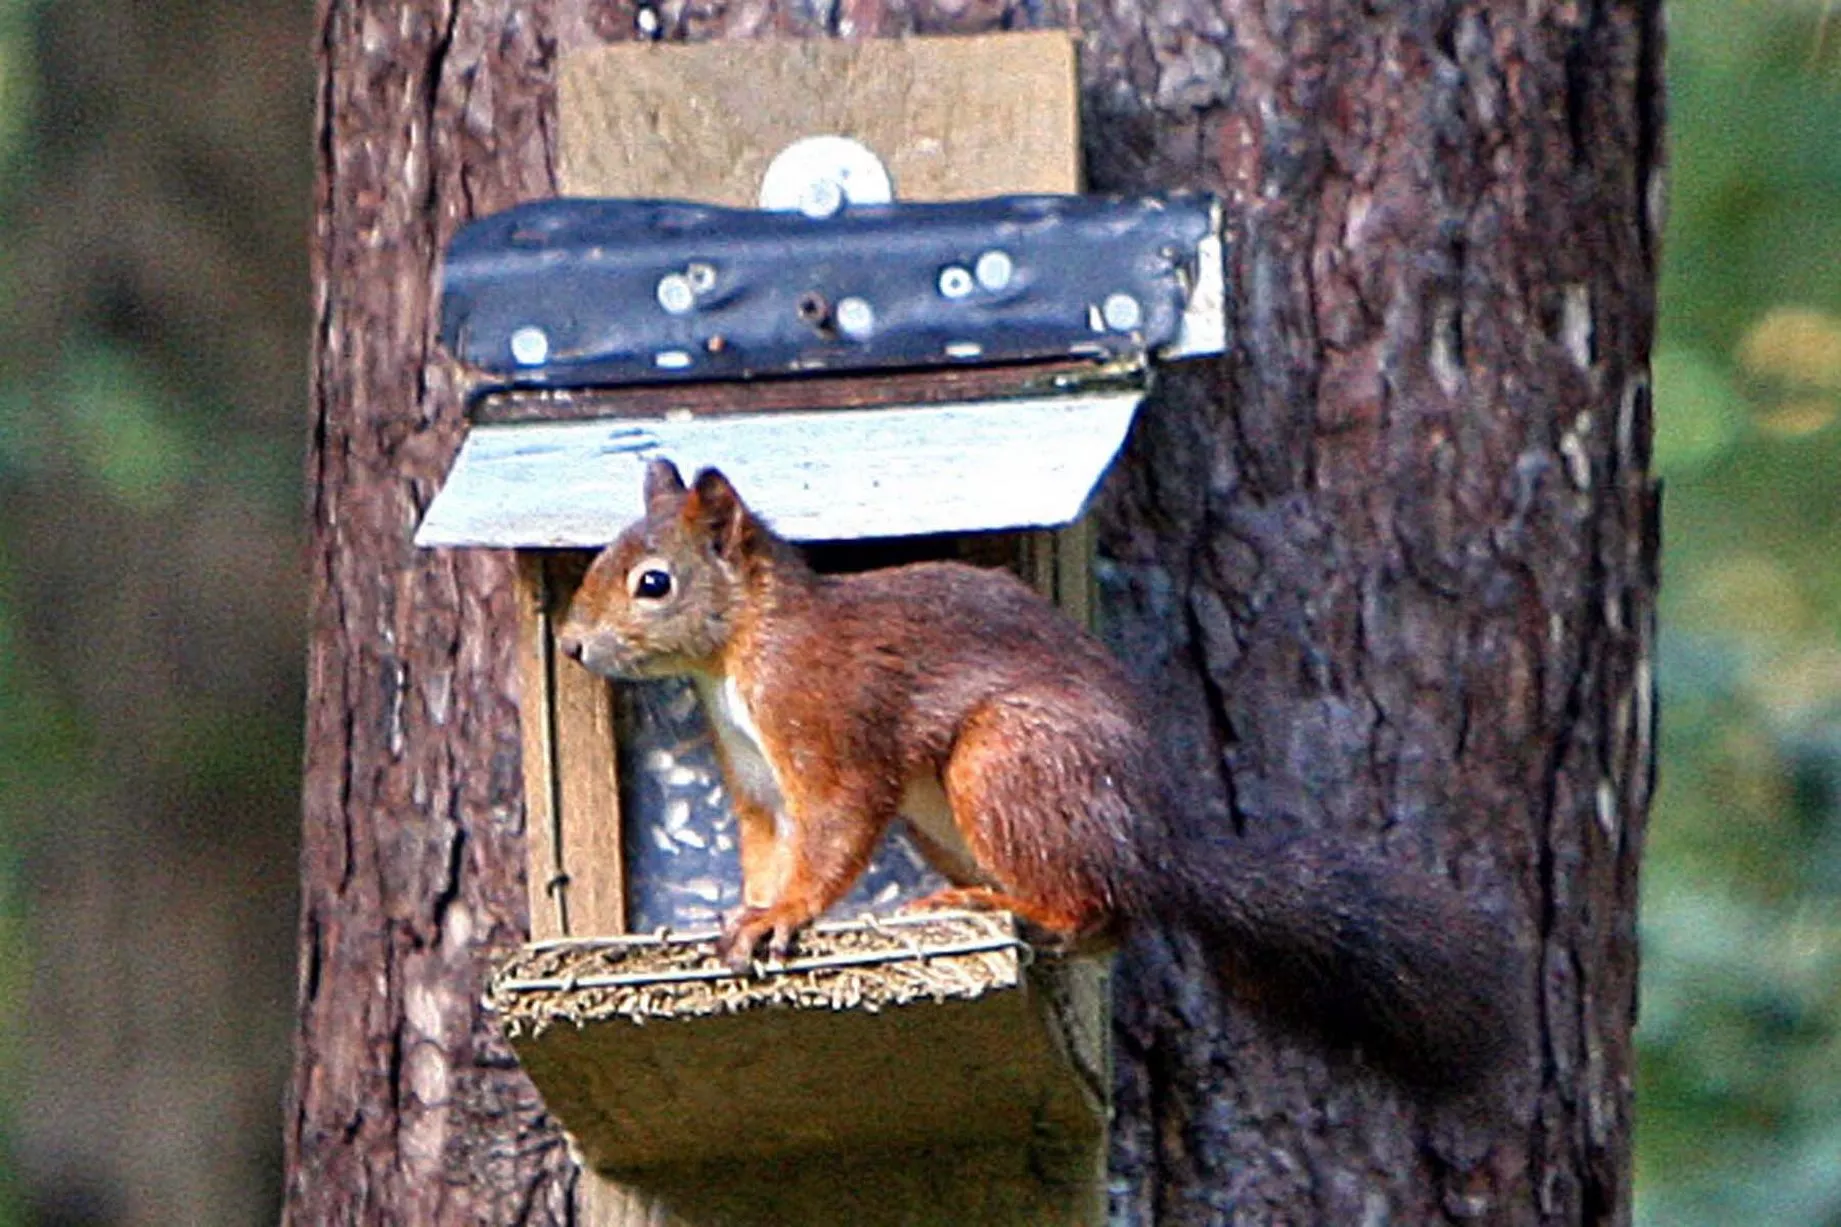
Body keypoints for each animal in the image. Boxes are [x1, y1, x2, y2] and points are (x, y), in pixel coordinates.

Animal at [552, 460, 1516, 1090]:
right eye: (595, 560)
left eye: (652, 582)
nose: (568, 644)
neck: (738, 653)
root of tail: (1154, 845)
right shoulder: (754, 780)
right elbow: (763, 845)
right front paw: (740, 913)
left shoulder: (831, 728)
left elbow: (833, 828)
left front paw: (782, 914)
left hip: (1006, 762)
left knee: (1090, 908)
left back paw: (1007, 906)